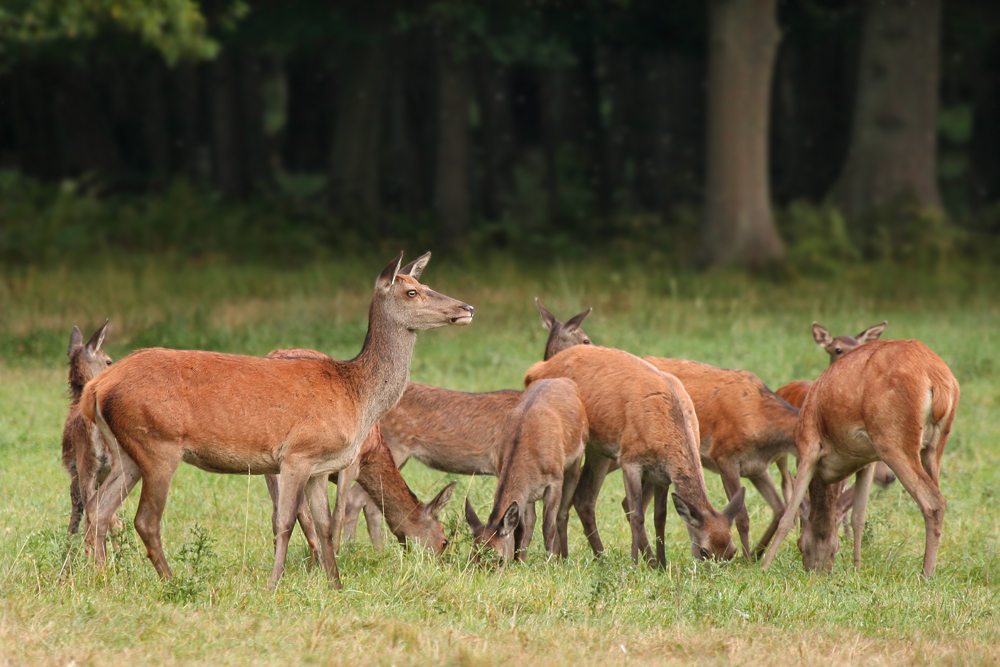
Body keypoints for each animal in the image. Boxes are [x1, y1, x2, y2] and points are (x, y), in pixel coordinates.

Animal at [262, 350, 458, 560]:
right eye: (444, 541)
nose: (440, 563)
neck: (374, 452)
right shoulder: (350, 463)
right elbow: (338, 512)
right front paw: (340, 552)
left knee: (277, 513)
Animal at [464, 378, 588, 560]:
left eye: (499, 559)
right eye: (472, 556)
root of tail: (562, 379)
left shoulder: (554, 480)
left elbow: (548, 525)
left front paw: (548, 561)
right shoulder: (525, 490)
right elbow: (524, 526)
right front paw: (519, 560)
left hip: (577, 458)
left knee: (562, 512)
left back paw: (563, 557)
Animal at [524, 344, 744, 568]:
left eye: (732, 552)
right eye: (704, 551)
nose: (715, 574)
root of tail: (536, 369)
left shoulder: (662, 476)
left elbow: (660, 517)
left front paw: (662, 564)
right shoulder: (630, 459)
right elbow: (636, 513)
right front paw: (635, 564)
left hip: (598, 450)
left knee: (584, 499)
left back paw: (599, 557)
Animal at [764, 342, 960, 576]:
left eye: (800, 545)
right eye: (836, 549)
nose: (818, 571)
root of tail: (938, 380)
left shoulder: (808, 446)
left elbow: (788, 514)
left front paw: (764, 565)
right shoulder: (867, 460)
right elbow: (858, 516)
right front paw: (857, 568)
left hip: (893, 440)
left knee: (933, 501)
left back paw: (926, 575)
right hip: (935, 446)